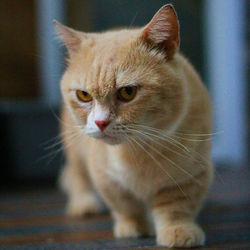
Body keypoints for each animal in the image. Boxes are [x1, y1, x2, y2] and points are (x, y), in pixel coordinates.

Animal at [54, 3, 213, 248]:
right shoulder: (104, 174)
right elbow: (124, 203)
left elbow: (176, 205)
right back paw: (84, 202)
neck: (137, 152)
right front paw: (133, 227)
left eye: (127, 92)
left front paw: (177, 229)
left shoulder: (192, 172)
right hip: (74, 147)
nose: (100, 122)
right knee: (78, 174)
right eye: (84, 95)